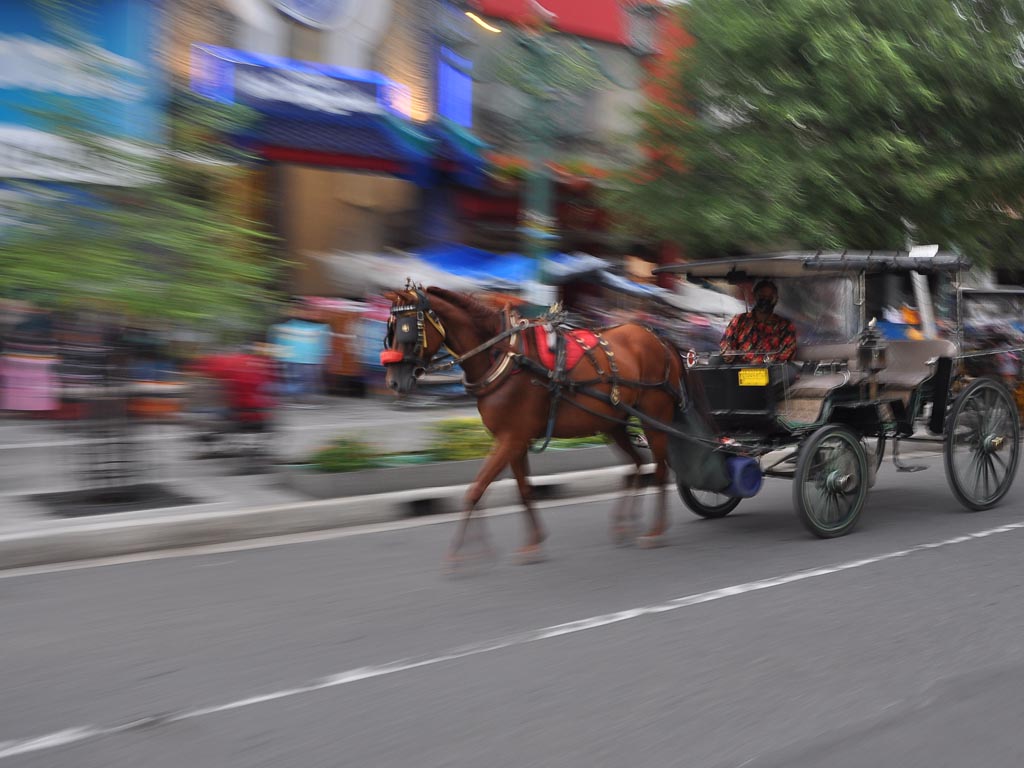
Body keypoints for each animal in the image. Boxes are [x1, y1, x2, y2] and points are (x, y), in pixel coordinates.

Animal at [382, 286, 688, 569]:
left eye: (408, 330)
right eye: (390, 330)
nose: (394, 382)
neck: (504, 355)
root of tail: (660, 339)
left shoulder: (512, 438)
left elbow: (476, 489)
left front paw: (460, 553)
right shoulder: (513, 440)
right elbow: (523, 490)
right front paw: (531, 543)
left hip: (654, 419)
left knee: (660, 471)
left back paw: (656, 530)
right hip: (613, 424)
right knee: (638, 464)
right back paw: (625, 523)